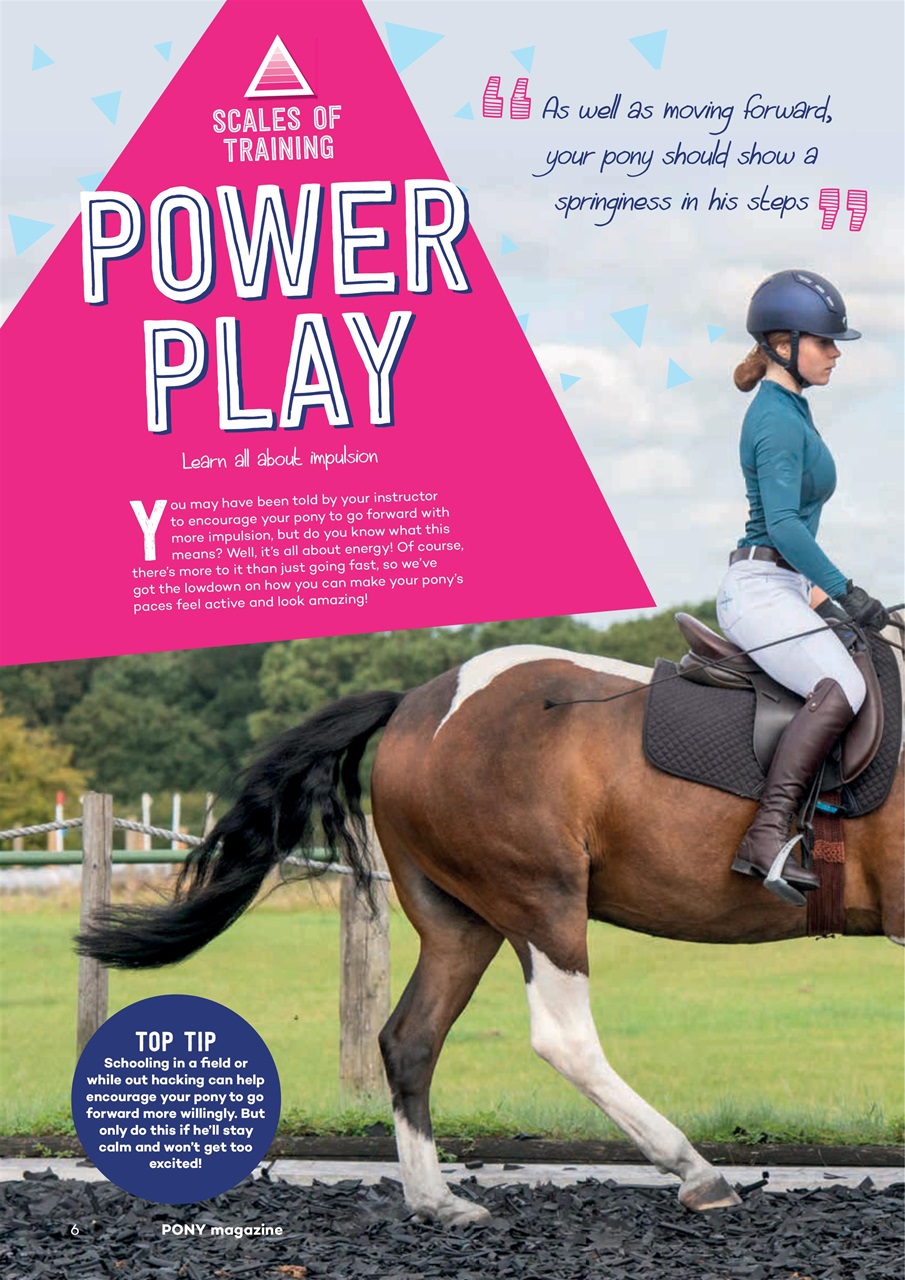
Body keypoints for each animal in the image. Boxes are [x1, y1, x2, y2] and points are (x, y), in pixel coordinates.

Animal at [77, 618, 904, 1227]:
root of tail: (418, 704)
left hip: (462, 922)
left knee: (409, 1039)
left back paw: (436, 1201)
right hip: (541, 901)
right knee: (563, 1038)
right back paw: (694, 1172)